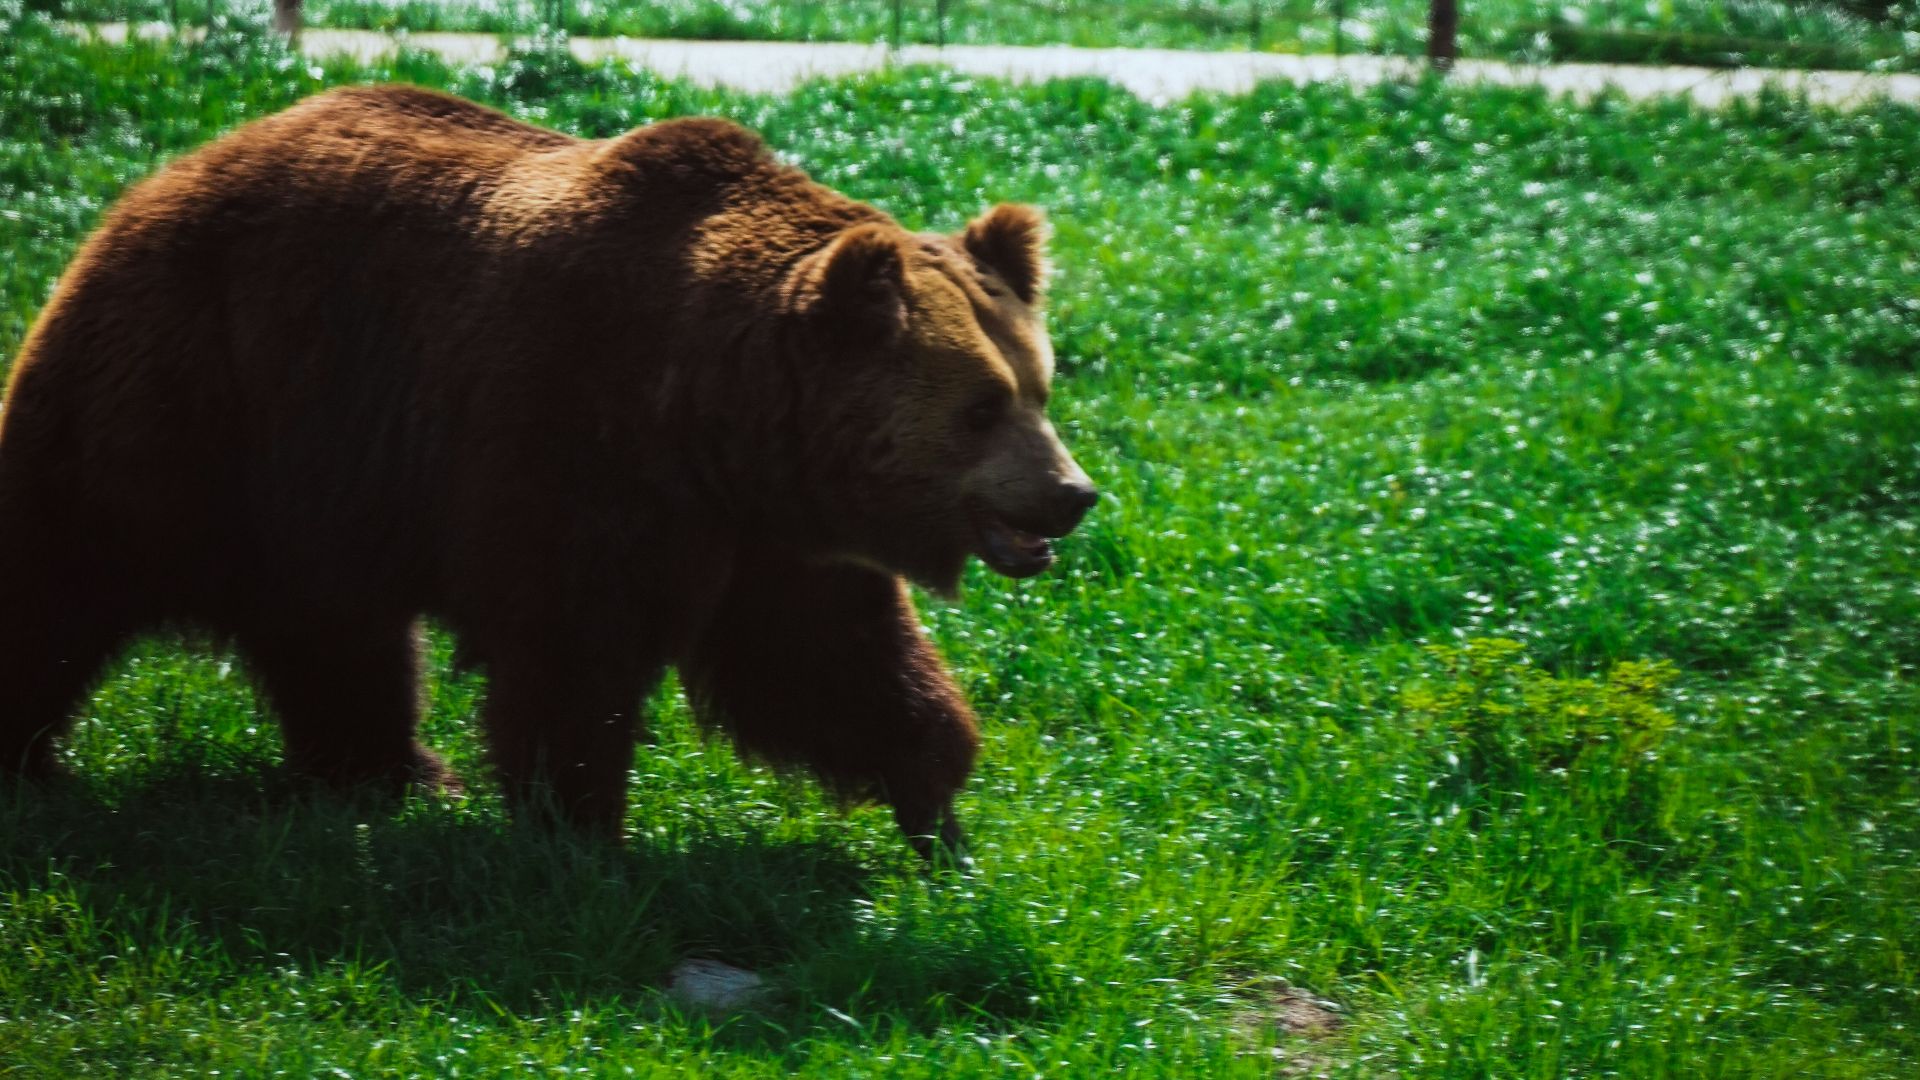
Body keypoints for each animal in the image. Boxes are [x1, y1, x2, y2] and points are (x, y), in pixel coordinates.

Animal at [0, 84, 1096, 862]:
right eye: (981, 407)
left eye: (1039, 385)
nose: (1071, 496)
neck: (716, 410)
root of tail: (159, 180)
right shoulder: (570, 434)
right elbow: (572, 649)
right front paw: (584, 832)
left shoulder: (769, 533)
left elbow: (830, 665)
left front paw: (939, 822)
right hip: (191, 403)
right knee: (59, 578)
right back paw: (35, 763)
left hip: (309, 481)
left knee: (337, 636)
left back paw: (391, 774)